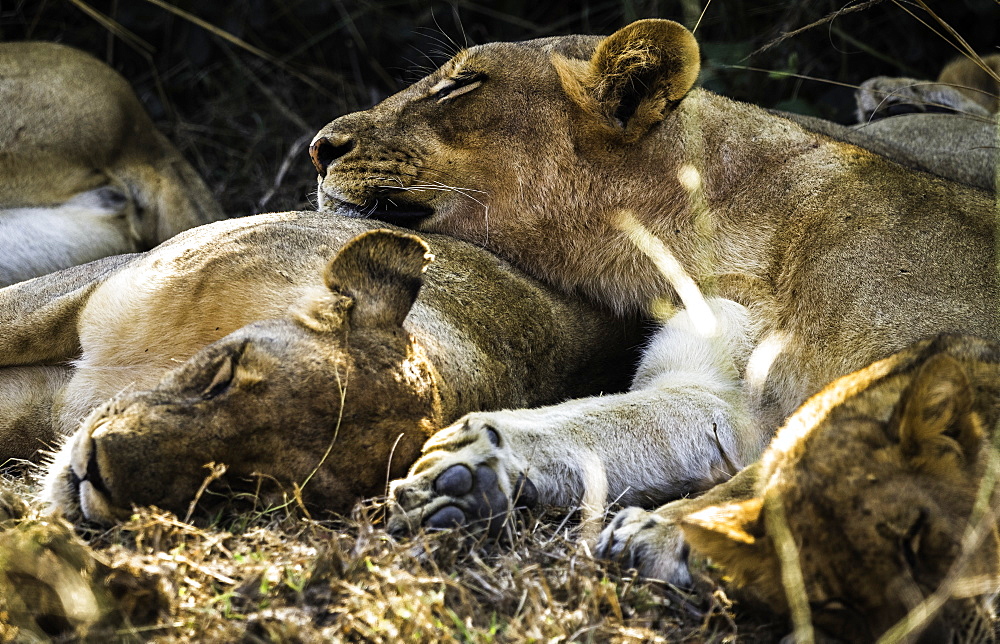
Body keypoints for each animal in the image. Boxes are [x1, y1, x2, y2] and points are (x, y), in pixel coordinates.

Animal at [310, 17, 1000, 556]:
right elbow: (615, 421)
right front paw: (467, 471)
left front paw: (675, 534)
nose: (319, 147)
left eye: (460, 83)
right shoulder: (716, 389)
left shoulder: (950, 356)